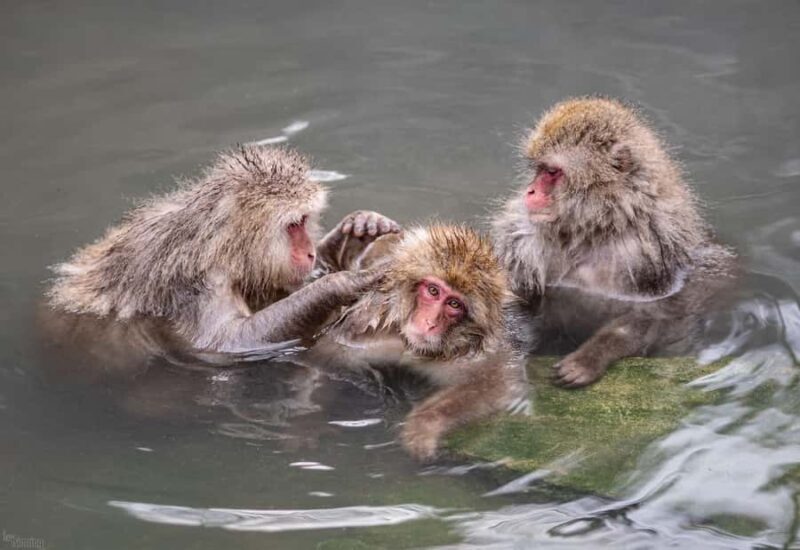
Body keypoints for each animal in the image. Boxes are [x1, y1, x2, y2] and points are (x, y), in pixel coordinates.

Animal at [46, 145, 400, 356]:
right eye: (292, 226)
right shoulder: (201, 283)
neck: (222, 246)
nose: (310, 252)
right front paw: (341, 284)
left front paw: (356, 232)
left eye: (303, 222)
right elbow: (227, 342)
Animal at [301, 224, 529, 461]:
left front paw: (424, 426)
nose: (429, 323)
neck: (409, 345)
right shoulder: (364, 335)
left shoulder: (474, 355)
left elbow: (495, 383)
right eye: (433, 291)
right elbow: (326, 357)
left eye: (454, 304)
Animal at [491, 97, 737, 388]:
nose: (529, 192)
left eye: (551, 172)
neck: (592, 232)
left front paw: (589, 358)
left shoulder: (652, 254)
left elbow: (661, 314)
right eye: (538, 170)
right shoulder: (520, 241)